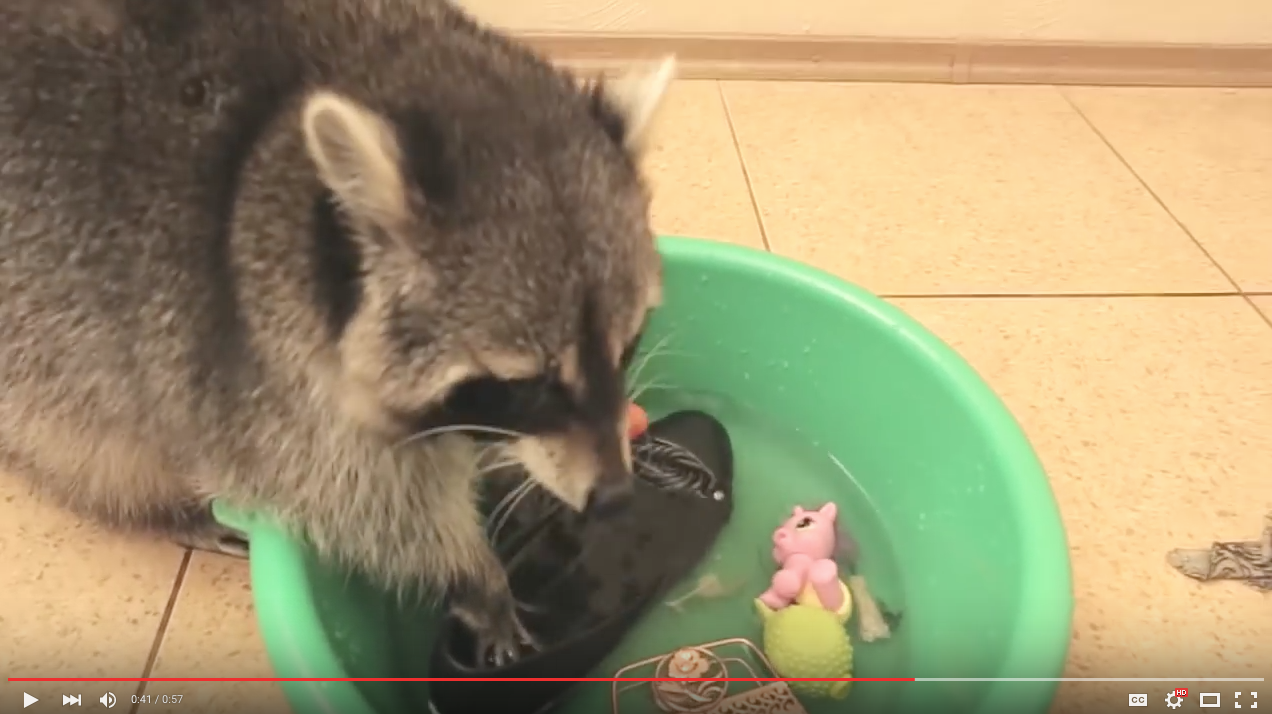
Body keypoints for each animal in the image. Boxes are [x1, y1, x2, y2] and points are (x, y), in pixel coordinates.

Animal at [0, 0, 673, 663]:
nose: (615, 495)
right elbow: (366, 506)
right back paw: (162, 508)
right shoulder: (269, 364)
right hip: (46, 355)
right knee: (98, 444)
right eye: (527, 384)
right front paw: (473, 575)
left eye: (627, 346)